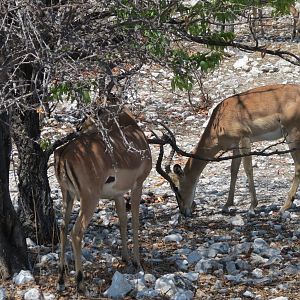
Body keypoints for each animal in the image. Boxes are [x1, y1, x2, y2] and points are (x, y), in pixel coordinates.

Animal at [54, 106, 152, 292]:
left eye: (98, 110)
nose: (79, 127)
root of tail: (63, 153)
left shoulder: (118, 195)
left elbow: (122, 221)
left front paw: (125, 258)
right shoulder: (137, 186)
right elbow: (135, 221)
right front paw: (137, 262)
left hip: (67, 195)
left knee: (63, 227)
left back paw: (62, 277)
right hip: (89, 199)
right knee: (76, 232)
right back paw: (80, 283)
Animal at [164, 83, 300, 217]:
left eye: (175, 187)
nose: (183, 211)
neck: (220, 121)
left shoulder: (244, 139)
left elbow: (248, 169)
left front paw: (252, 207)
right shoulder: (235, 147)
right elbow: (233, 170)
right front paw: (227, 205)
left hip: (291, 135)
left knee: (297, 166)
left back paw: (283, 207)